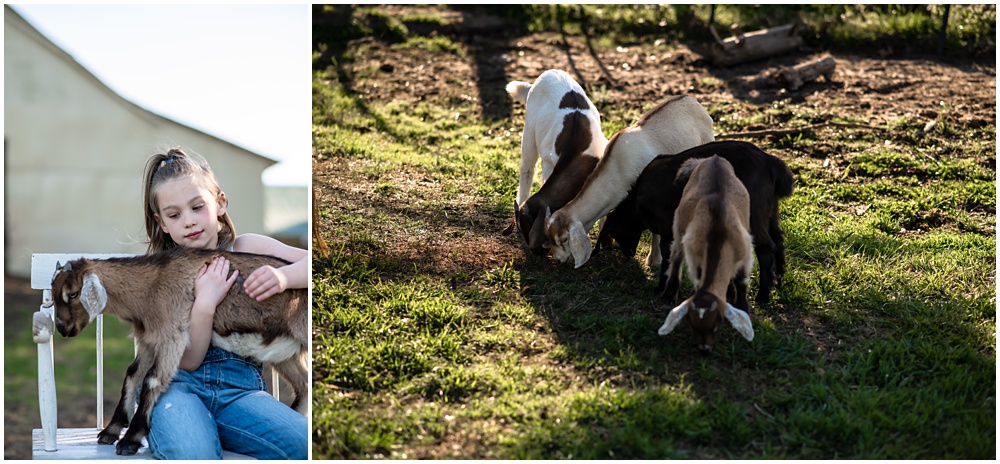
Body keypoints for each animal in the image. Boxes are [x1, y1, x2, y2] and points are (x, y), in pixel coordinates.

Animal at [48, 248, 306, 454]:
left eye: (73, 294)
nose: (62, 328)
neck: (151, 288)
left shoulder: (173, 334)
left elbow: (151, 379)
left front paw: (130, 439)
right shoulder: (148, 340)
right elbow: (132, 374)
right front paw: (111, 431)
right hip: (284, 354)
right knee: (303, 383)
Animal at [592, 141, 796, 308]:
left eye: (616, 235)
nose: (629, 254)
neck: (637, 200)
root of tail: (770, 161)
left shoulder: (667, 228)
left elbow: (667, 258)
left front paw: (662, 289)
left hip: (753, 213)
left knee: (765, 248)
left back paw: (763, 295)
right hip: (770, 211)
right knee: (778, 240)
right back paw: (777, 280)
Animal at [656, 156, 756, 352]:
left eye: (717, 324)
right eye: (691, 324)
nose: (704, 349)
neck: (718, 235)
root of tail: (713, 158)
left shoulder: (745, 252)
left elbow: (741, 281)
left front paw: (743, 306)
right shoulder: (695, 257)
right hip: (679, 223)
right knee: (676, 255)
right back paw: (670, 292)